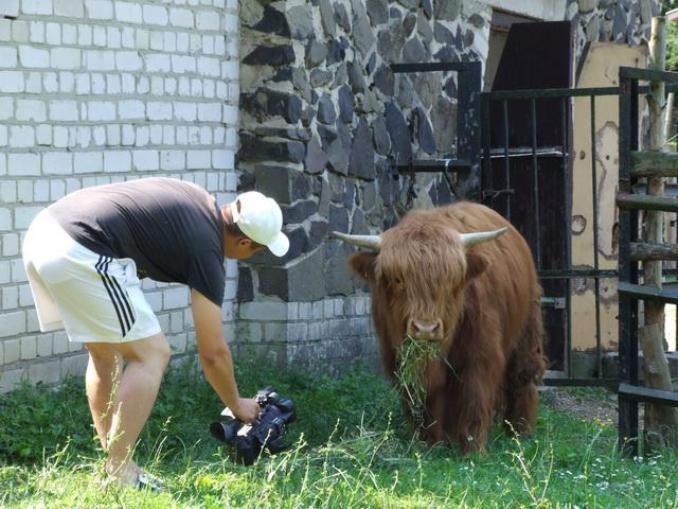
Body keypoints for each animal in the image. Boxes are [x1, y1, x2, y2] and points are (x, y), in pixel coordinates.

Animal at [332, 200, 548, 450]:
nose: (425, 329)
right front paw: (427, 444)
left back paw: (520, 431)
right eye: (398, 279)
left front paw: (472, 448)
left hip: (527, 330)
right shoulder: (399, 357)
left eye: (450, 280)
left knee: (522, 376)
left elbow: (475, 395)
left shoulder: (480, 355)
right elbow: (424, 398)